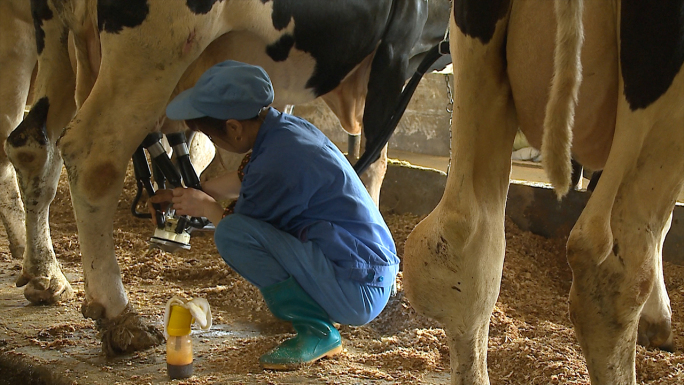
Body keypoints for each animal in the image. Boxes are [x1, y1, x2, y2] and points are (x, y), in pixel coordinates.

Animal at [5, 0, 452, 354]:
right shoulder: (397, 48)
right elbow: (374, 160)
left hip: (55, 40)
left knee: (32, 145)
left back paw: (46, 276)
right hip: (156, 46)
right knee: (94, 154)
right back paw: (119, 316)